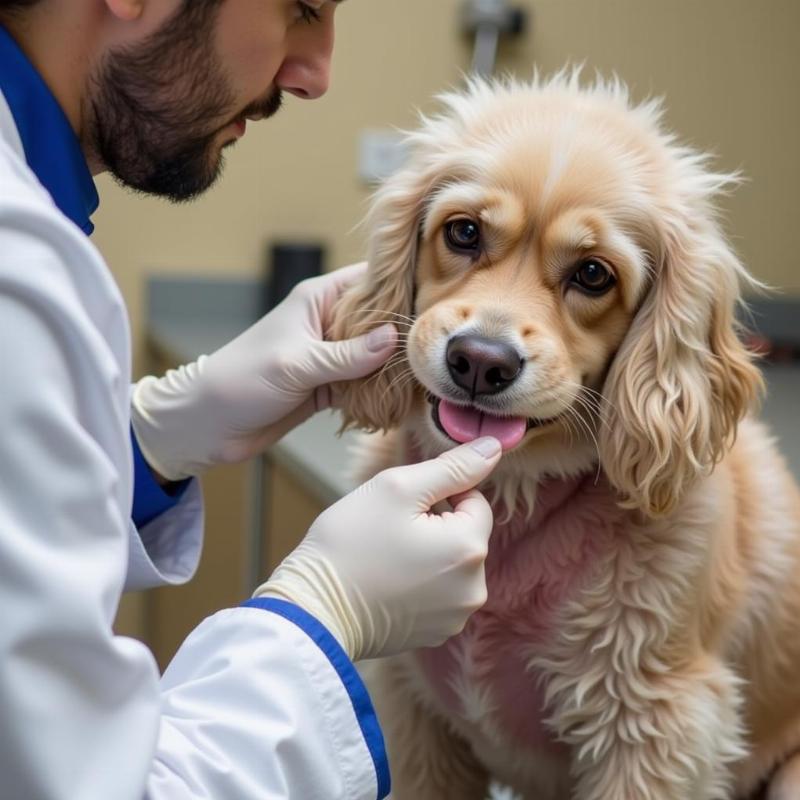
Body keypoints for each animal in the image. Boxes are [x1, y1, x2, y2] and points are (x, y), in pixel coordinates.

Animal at [324, 72, 800, 796]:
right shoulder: (414, 715)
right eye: (463, 232)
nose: (480, 361)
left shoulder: (657, 730)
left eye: (594, 274)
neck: (515, 495)